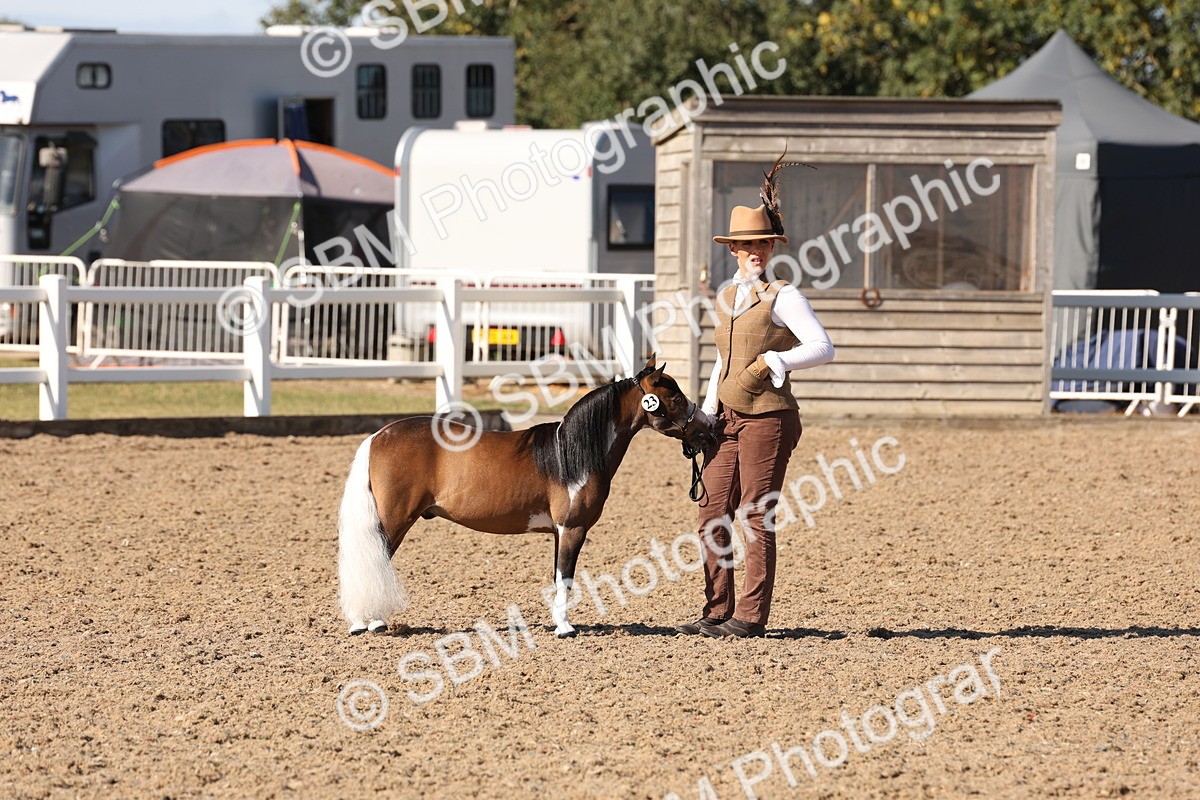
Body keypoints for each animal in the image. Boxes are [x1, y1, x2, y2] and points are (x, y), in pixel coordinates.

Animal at [337, 356, 713, 638]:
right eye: (675, 398)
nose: (707, 429)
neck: (570, 453)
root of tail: (378, 435)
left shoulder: (559, 533)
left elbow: (558, 577)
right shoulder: (572, 529)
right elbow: (565, 578)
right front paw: (565, 629)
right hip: (393, 521)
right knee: (374, 562)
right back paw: (370, 622)